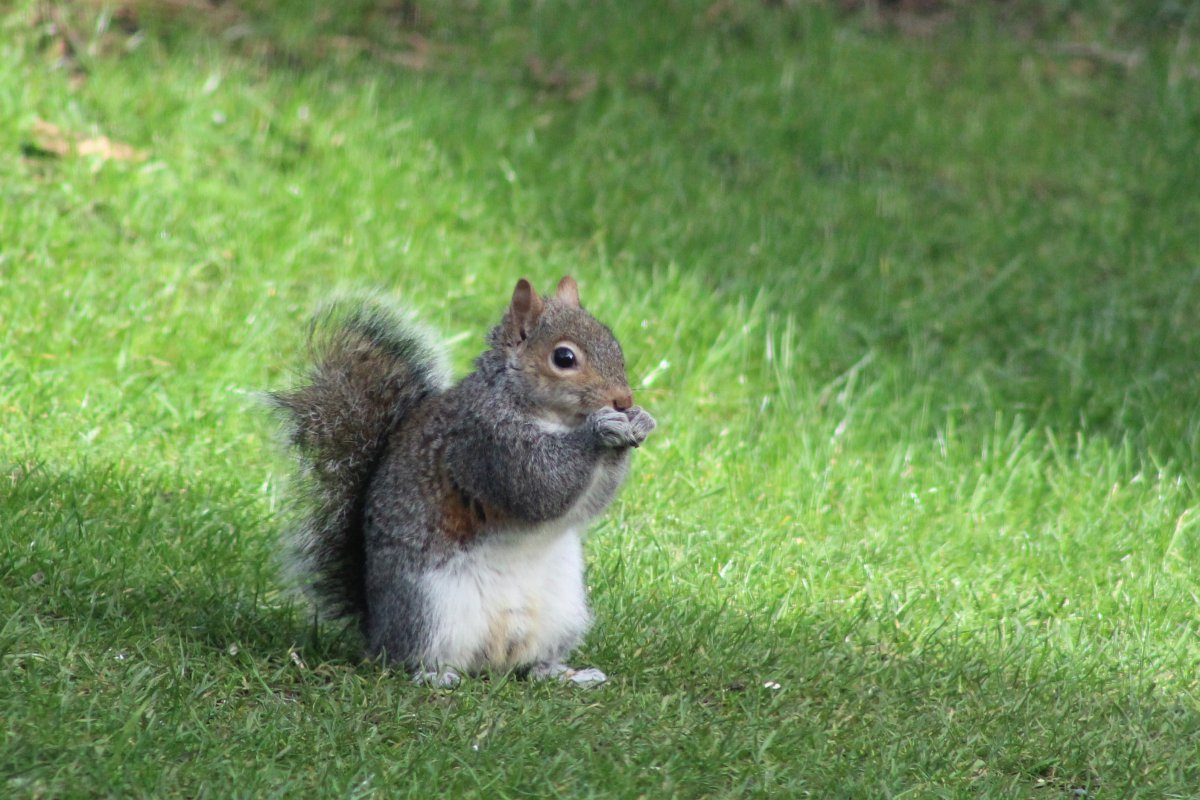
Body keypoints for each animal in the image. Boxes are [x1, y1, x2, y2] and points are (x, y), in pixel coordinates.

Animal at [272, 277, 657, 690]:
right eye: (564, 358)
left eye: (614, 343)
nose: (623, 400)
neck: (549, 415)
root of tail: (377, 632)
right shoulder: (488, 443)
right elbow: (541, 486)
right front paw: (599, 430)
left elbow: (587, 502)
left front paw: (639, 421)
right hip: (429, 610)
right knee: (413, 659)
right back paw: (436, 676)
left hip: (562, 610)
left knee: (533, 665)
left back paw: (565, 674)